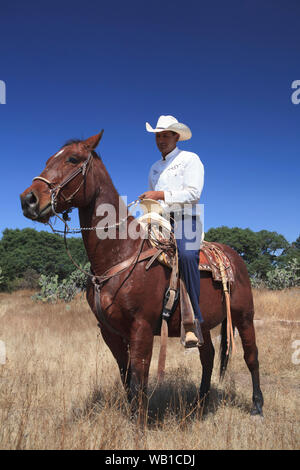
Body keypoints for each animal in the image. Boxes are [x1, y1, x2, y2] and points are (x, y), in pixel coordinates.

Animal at [20, 131, 262, 418]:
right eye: (48, 160)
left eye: (73, 159)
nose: (28, 199)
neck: (119, 254)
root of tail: (234, 257)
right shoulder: (110, 332)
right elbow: (126, 377)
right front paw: (133, 415)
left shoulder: (142, 328)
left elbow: (139, 379)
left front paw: (141, 422)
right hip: (202, 326)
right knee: (209, 357)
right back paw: (200, 404)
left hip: (244, 316)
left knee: (251, 356)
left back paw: (257, 405)